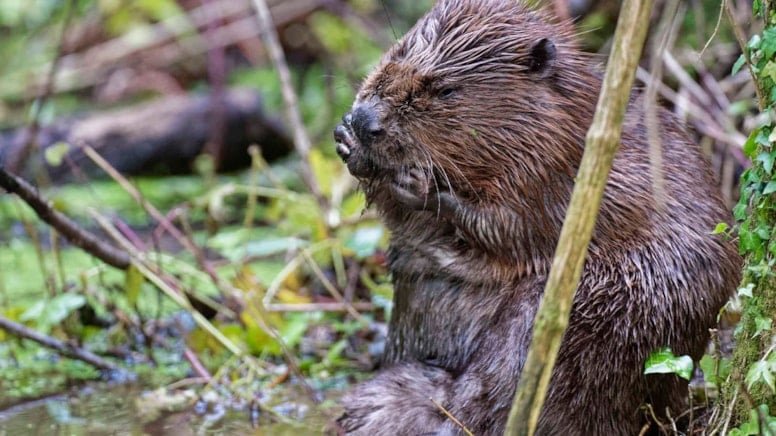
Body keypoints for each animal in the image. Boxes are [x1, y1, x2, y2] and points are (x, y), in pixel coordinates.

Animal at [332, 1, 740, 434]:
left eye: (445, 90)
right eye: (396, 52)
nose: (366, 120)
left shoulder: (559, 177)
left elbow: (505, 229)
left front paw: (420, 184)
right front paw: (346, 139)